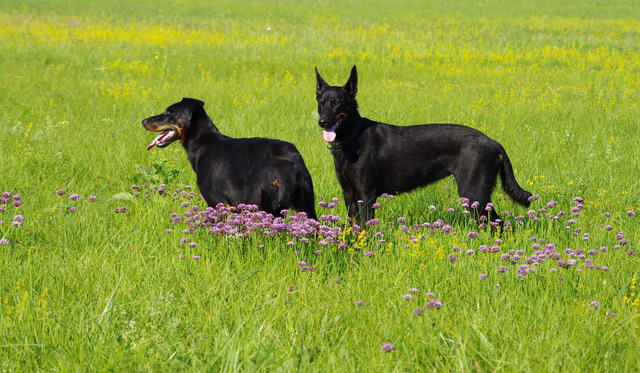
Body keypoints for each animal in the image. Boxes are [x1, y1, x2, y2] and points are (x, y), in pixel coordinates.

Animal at [143, 96, 318, 219]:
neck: (203, 143)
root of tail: (289, 161)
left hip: (253, 201)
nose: (143, 121)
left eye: (168, 113)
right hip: (305, 207)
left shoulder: (216, 203)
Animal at [314, 65, 528, 225]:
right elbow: (354, 228)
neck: (353, 137)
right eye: (321, 102)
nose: (322, 122)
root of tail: (493, 142)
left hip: (474, 193)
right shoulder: (349, 194)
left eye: (336, 102)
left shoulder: (366, 195)